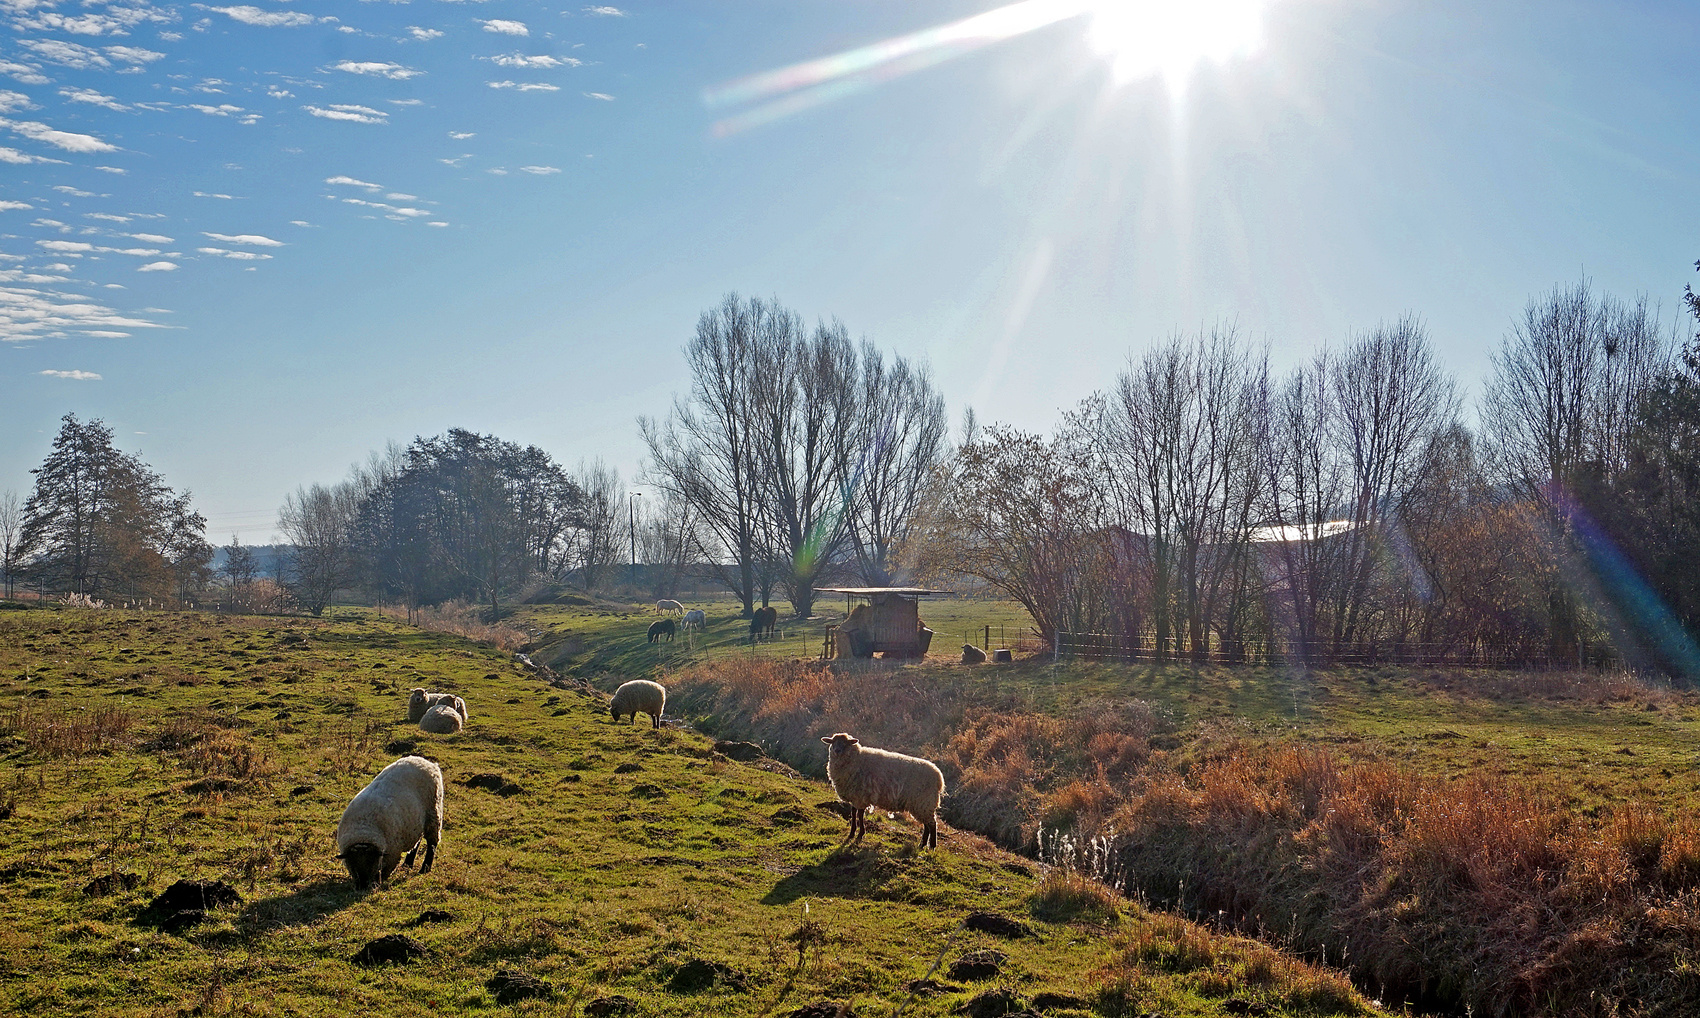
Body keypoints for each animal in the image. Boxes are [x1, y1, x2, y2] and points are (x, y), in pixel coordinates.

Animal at [334, 757, 445, 890]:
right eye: (353, 863)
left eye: (372, 861)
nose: (363, 886)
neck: (363, 827)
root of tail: (429, 762)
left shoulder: (392, 854)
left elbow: (384, 872)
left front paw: (377, 884)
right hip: (417, 821)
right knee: (417, 841)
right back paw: (407, 864)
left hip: (434, 813)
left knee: (432, 843)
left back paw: (425, 869)